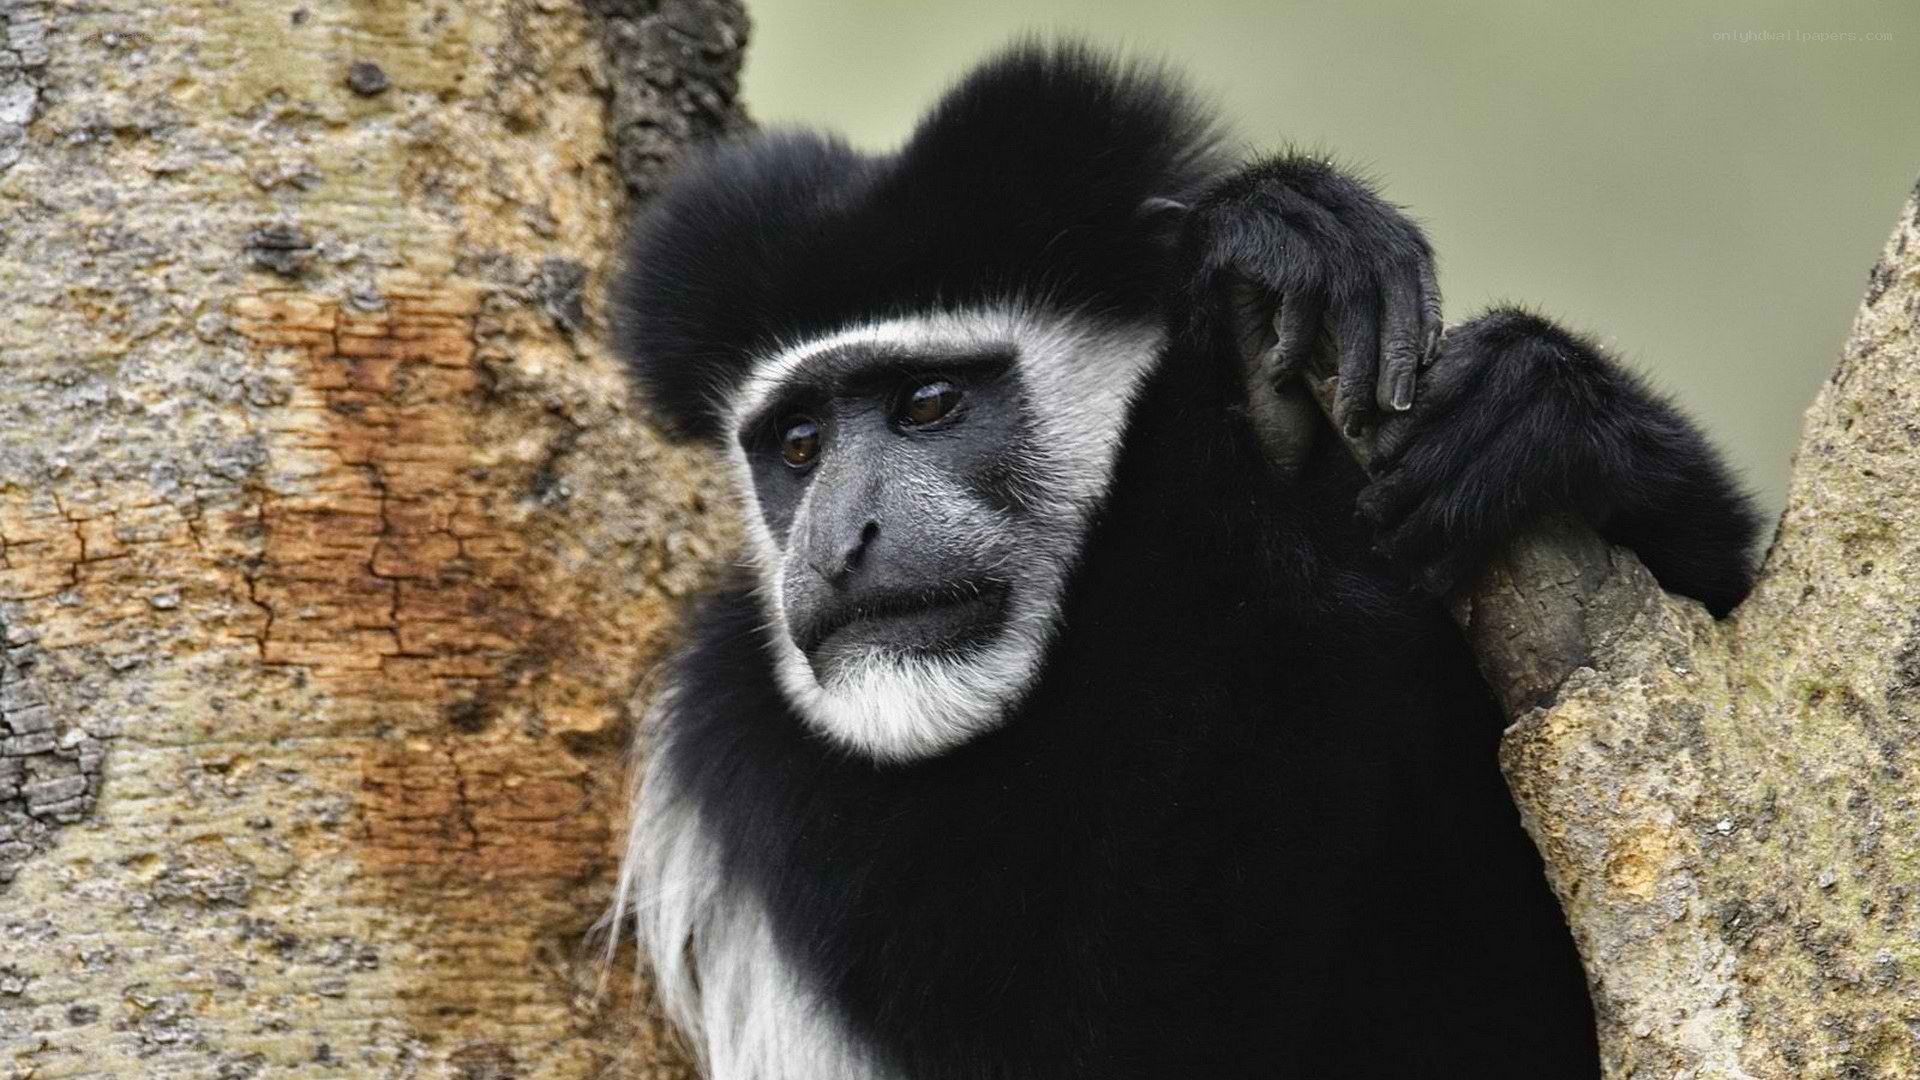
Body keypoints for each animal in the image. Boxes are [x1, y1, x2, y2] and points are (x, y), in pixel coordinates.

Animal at [606, 41, 1759, 1080]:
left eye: (927, 404)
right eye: (798, 445)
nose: (845, 544)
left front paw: (1540, 406)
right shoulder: (753, 746)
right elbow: (1129, 1033)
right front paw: (1241, 365)